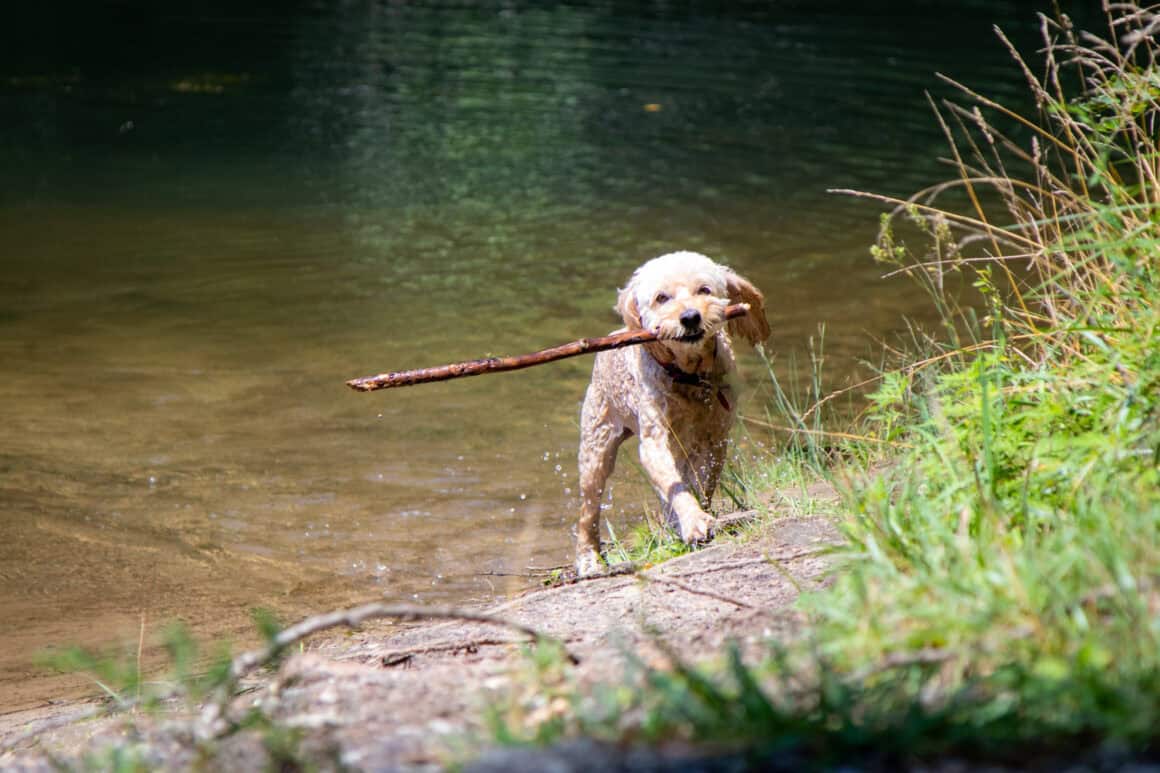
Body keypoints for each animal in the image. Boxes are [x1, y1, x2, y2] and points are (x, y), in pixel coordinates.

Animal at [573, 249, 770, 575]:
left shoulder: (714, 439)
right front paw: (694, 522)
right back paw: (588, 557)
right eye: (661, 298)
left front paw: (695, 517)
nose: (690, 317)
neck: (689, 375)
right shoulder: (654, 439)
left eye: (704, 290)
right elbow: (674, 485)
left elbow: (700, 482)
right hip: (596, 445)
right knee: (589, 508)